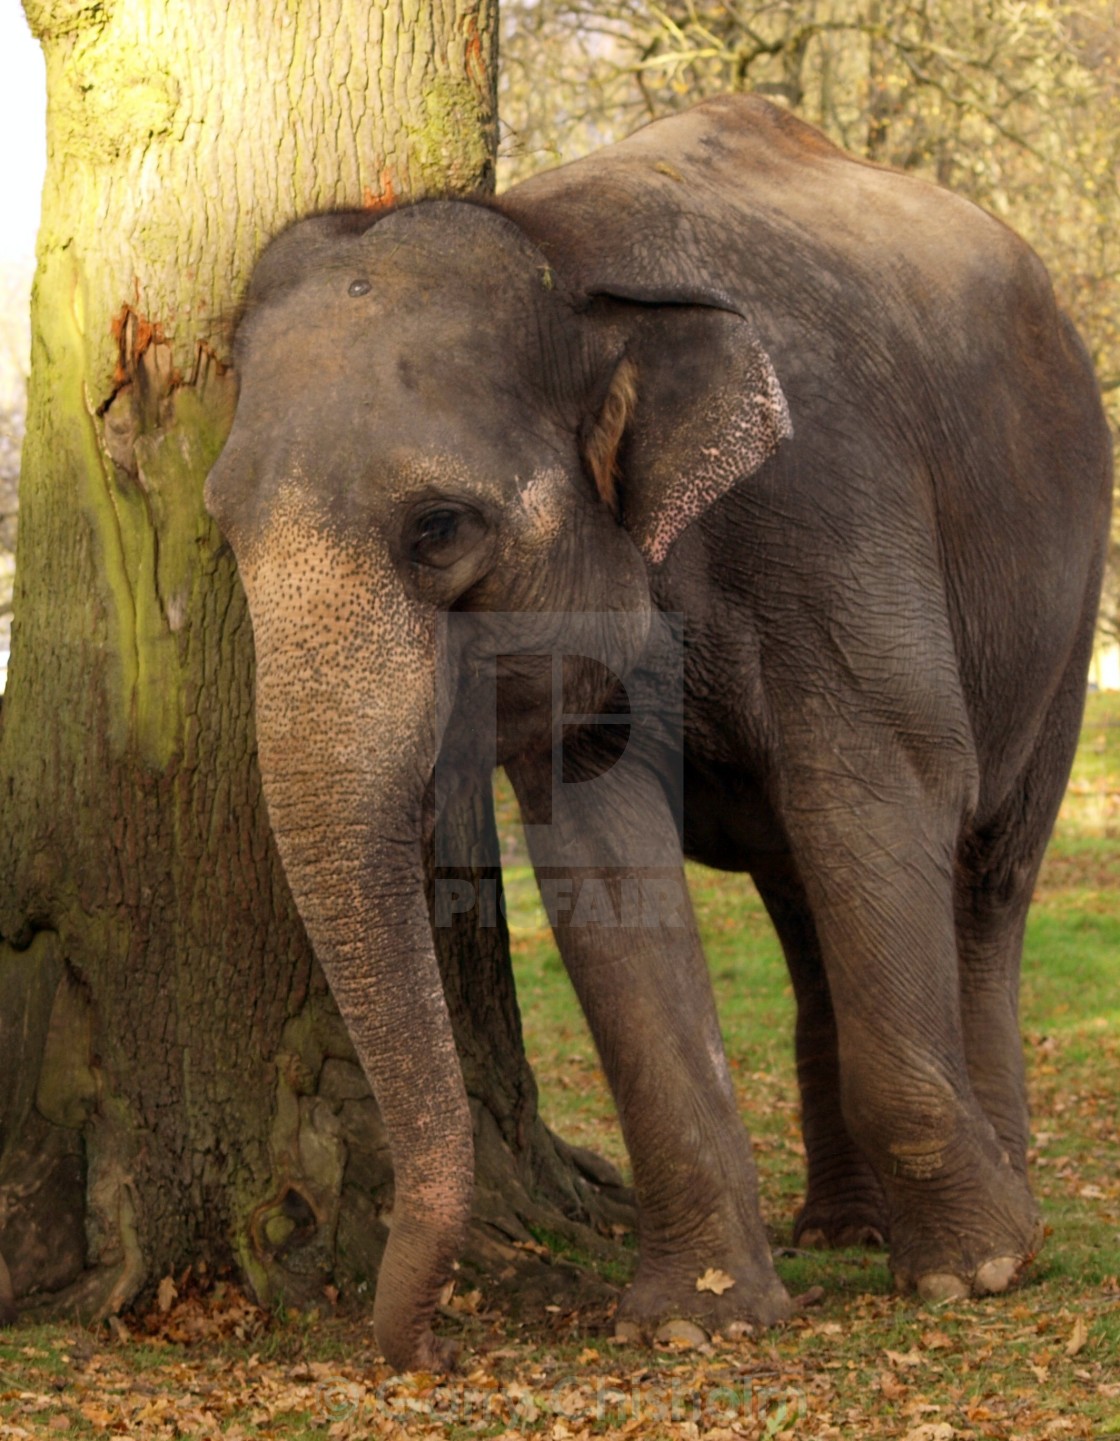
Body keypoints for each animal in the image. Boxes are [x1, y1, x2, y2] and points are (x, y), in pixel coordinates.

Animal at [203, 95, 1107, 1366]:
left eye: (439, 528)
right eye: (221, 526)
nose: (424, 1346)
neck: (564, 257)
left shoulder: (830, 505)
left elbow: (882, 787)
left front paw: (972, 1272)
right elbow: (601, 854)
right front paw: (698, 1320)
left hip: (1067, 596)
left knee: (984, 875)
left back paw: (996, 1215)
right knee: (804, 903)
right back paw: (840, 1228)